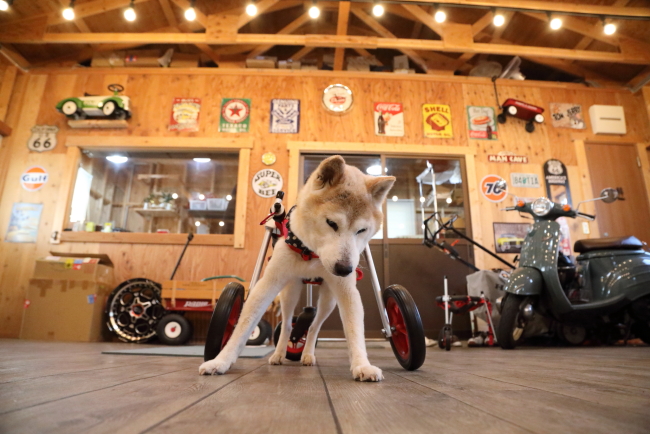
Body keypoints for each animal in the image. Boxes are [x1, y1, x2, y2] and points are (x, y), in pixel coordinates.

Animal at [200, 154, 394, 382]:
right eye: (331, 223)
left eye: (362, 230)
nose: (345, 269)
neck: (311, 252)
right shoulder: (268, 284)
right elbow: (243, 326)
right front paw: (220, 361)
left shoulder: (347, 292)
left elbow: (354, 330)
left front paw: (362, 365)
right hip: (289, 292)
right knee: (286, 326)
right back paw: (278, 354)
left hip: (328, 300)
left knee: (313, 326)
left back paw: (307, 354)